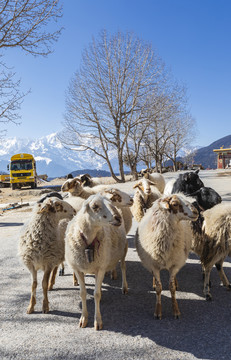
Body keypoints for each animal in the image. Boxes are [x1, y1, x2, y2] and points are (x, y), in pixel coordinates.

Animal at [65, 194, 128, 330]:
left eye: (110, 202)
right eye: (95, 206)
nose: (118, 218)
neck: (89, 242)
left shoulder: (101, 268)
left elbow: (96, 294)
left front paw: (97, 321)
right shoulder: (78, 268)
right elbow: (83, 293)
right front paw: (83, 318)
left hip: (123, 250)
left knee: (123, 267)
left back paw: (124, 287)